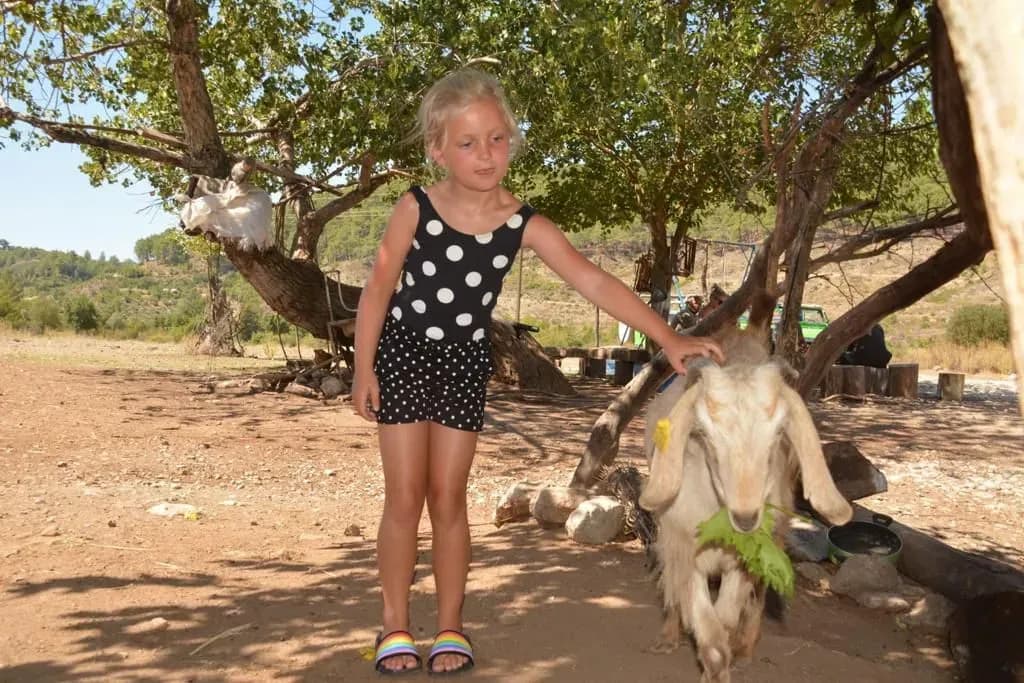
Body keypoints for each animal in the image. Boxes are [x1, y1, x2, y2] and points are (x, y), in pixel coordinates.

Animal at [639, 331, 852, 682]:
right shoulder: (682, 548)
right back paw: (668, 637)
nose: (746, 518)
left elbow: (724, 621)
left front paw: (725, 662)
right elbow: (704, 624)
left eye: (779, 433)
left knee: (758, 596)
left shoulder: (746, 558)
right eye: (704, 435)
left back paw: (745, 650)